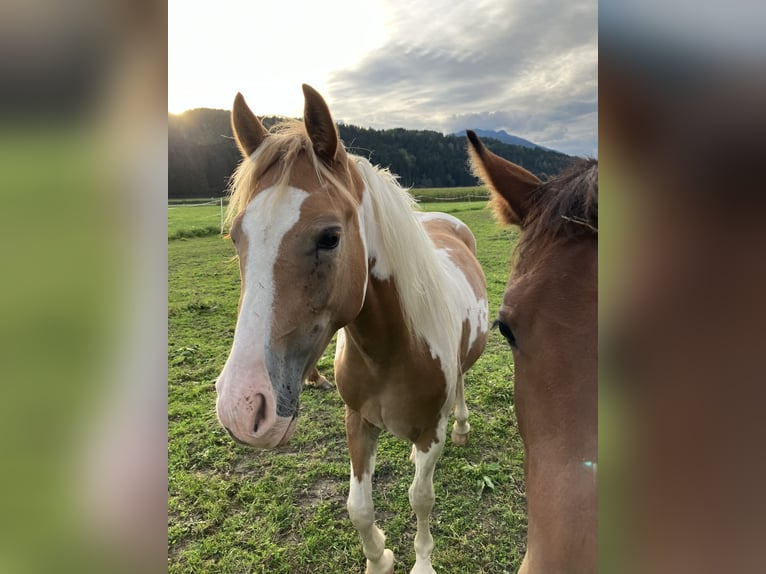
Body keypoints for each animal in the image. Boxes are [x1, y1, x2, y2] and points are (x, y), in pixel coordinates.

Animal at [214, 86, 492, 574]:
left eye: (329, 237)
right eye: (236, 236)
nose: (241, 409)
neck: (392, 351)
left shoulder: (428, 433)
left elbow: (421, 498)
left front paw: (421, 562)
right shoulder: (357, 421)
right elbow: (357, 506)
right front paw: (379, 558)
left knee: (459, 388)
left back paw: (461, 427)